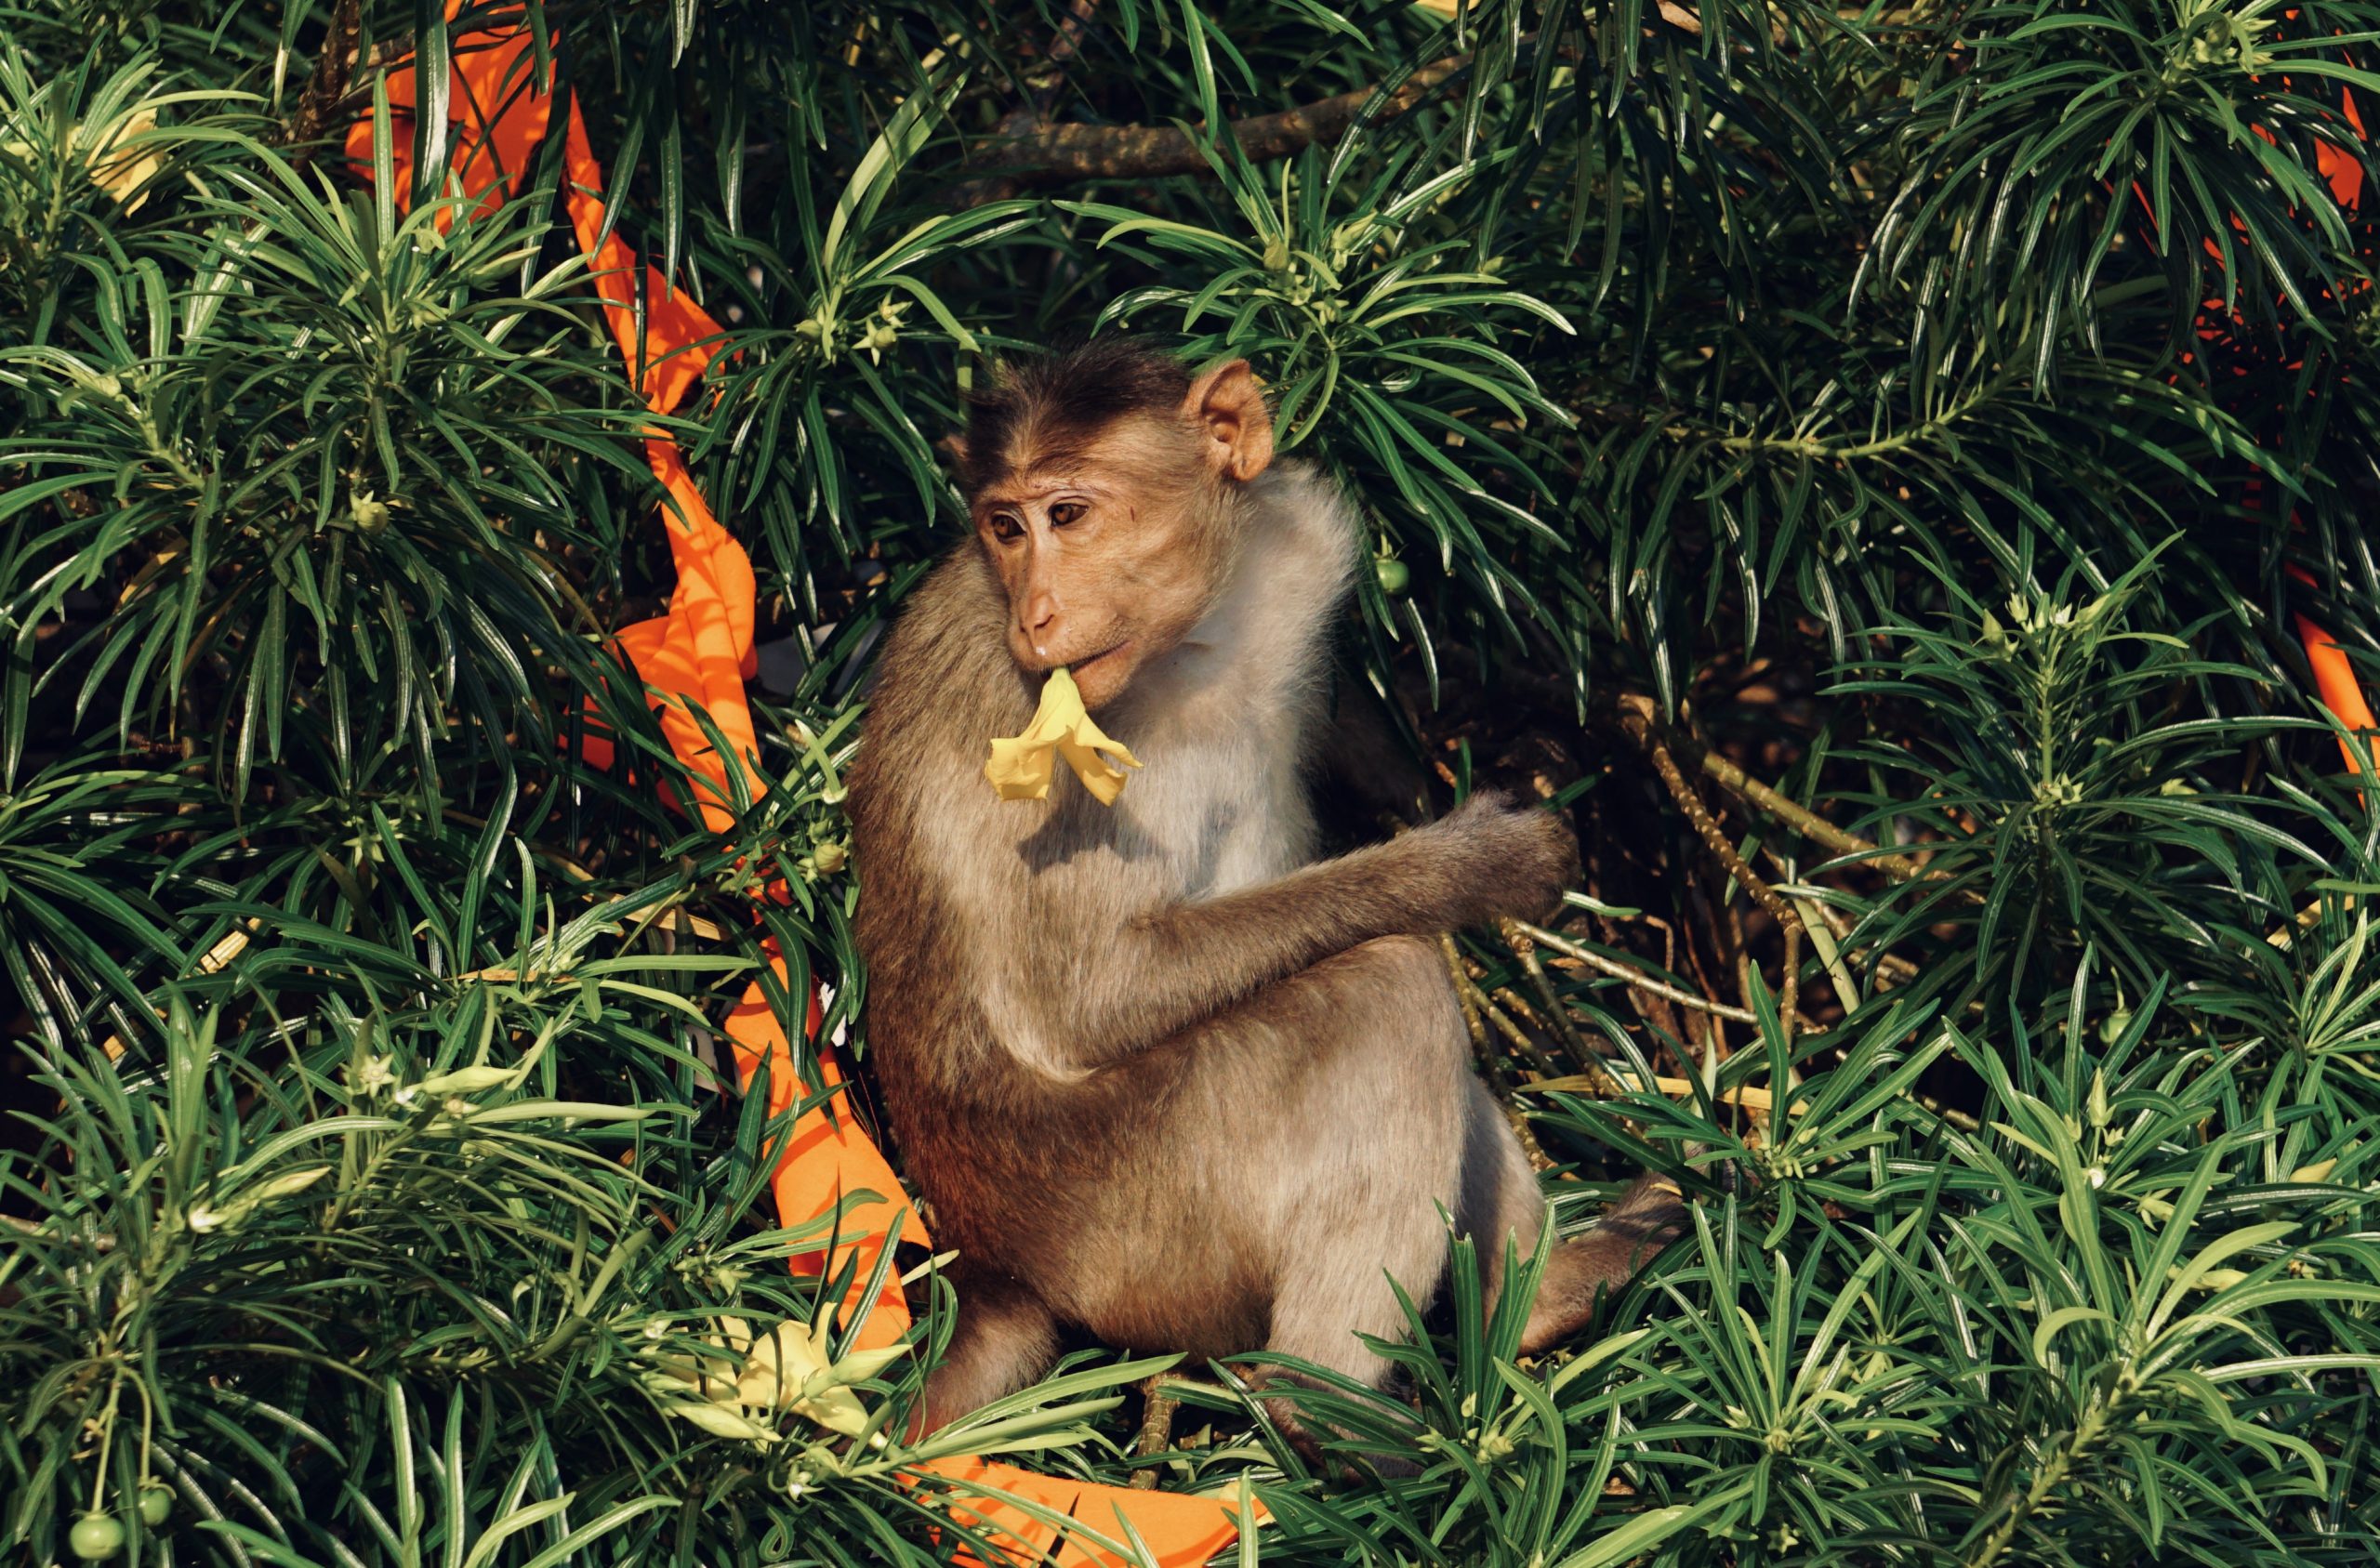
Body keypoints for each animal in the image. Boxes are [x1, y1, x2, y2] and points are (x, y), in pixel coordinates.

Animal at [847, 342, 1685, 1446]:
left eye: (1065, 514)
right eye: (1004, 527)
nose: (1035, 614)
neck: (1189, 640)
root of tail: (994, 1259)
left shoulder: (1299, 546)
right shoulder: (1039, 733)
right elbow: (1086, 1000)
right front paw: (1471, 863)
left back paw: (1545, 1297)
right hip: (1143, 1218)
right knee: (1388, 989)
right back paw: (1324, 1411)